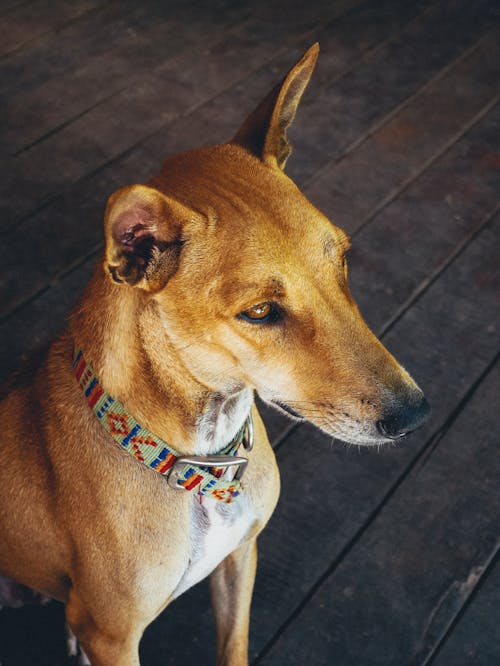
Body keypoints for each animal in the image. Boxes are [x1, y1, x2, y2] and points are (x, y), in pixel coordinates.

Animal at [0, 44, 430, 660]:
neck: (200, 458)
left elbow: (235, 647)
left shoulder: (240, 556)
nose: (414, 415)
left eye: (343, 261)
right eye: (260, 312)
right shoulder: (115, 636)